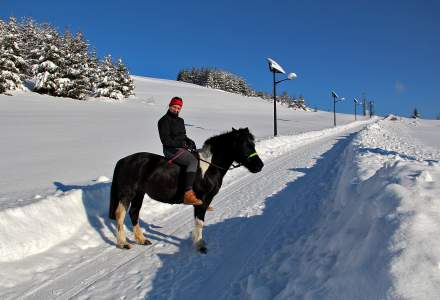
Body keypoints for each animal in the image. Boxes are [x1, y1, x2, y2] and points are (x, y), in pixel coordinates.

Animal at [108, 126, 262, 253]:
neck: (209, 167)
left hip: (139, 194)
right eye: (244, 145)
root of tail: (124, 160)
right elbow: (200, 222)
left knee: (134, 213)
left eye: (253, 144)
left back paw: (142, 240)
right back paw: (123, 243)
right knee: (120, 214)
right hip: (128, 194)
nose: (259, 166)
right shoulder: (202, 201)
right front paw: (200, 245)